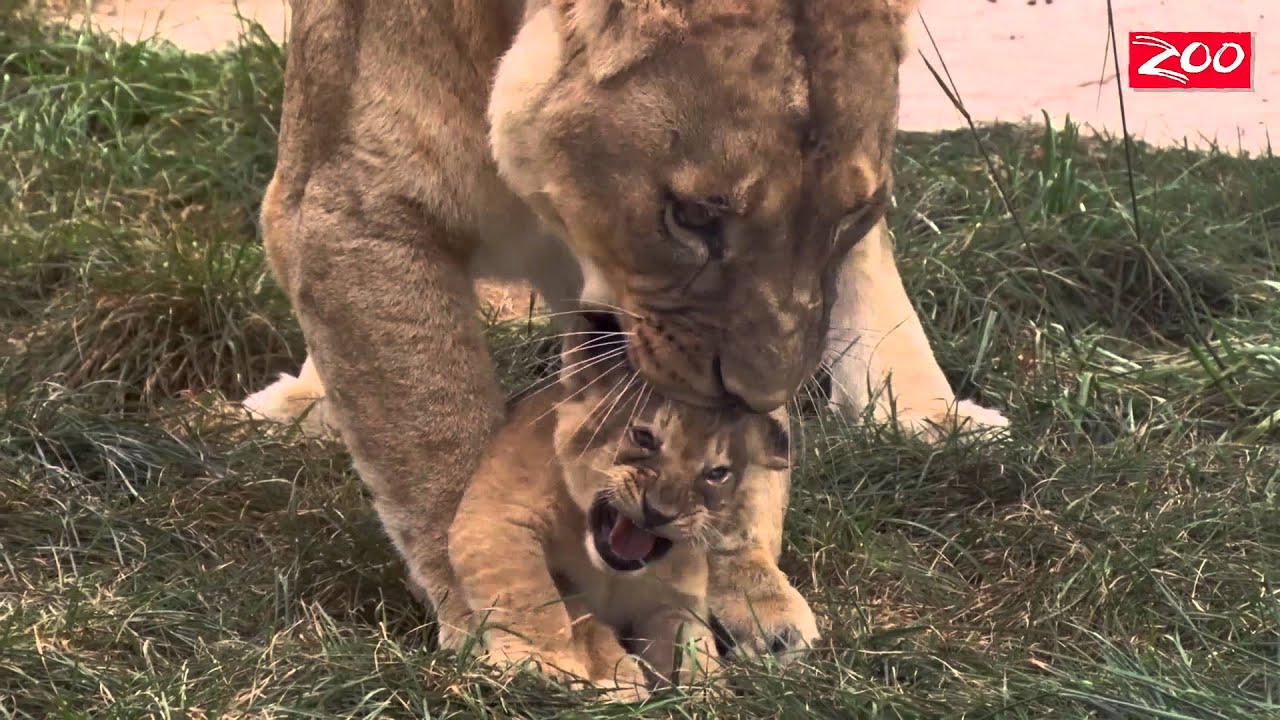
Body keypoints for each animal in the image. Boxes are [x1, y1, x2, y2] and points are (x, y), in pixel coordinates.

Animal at [247, 0, 1008, 659]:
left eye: (848, 218)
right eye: (692, 217)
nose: (759, 395)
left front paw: (745, 583)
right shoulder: (350, 210)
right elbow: (435, 432)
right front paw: (532, 633)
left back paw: (931, 414)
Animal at [449, 311, 812, 701]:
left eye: (717, 473)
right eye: (643, 437)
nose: (659, 512)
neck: (613, 576)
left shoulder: (675, 603)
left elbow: (691, 648)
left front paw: (704, 695)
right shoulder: (495, 519)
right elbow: (534, 596)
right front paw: (549, 663)